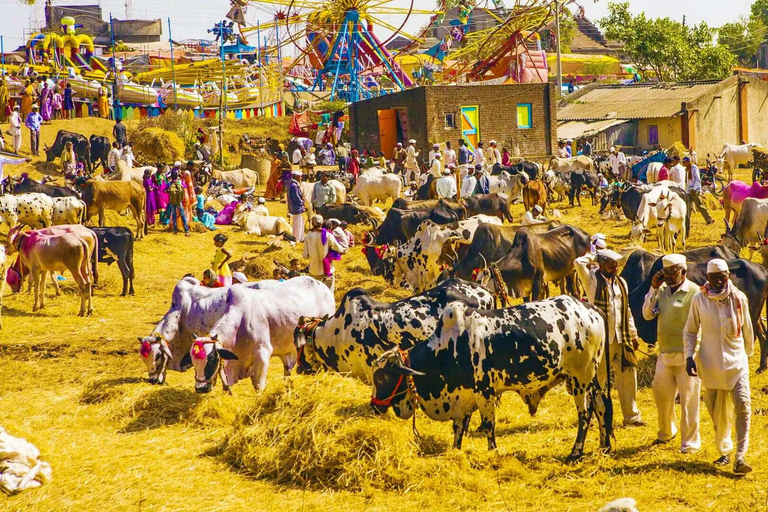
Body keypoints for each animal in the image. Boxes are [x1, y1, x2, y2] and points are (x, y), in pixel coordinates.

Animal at [370, 296, 612, 460]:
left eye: (382, 378)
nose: (374, 406)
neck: (449, 347)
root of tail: (590, 309)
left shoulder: (485, 392)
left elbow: (488, 425)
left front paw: (493, 452)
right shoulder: (463, 397)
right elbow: (458, 429)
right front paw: (456, 451)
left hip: (580, 380)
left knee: (585, 414)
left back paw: (575, 452)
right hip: (593, 380)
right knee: (601, 406)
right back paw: (604, 446)